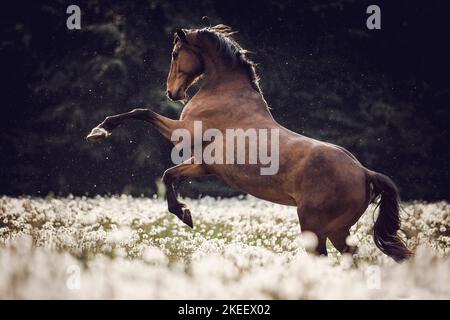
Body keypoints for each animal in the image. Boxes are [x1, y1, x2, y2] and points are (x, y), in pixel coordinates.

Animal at [87, 25, 412, 262]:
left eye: (176, 53)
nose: (172, 93)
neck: (225, 92)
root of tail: (364, 172)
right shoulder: (205, 164)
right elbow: (169, 175)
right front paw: (186, 215)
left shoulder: (184, 132)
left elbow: (142, 112)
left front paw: (100, 130)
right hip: (338, 230)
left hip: (315, 225)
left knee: (324, 258)